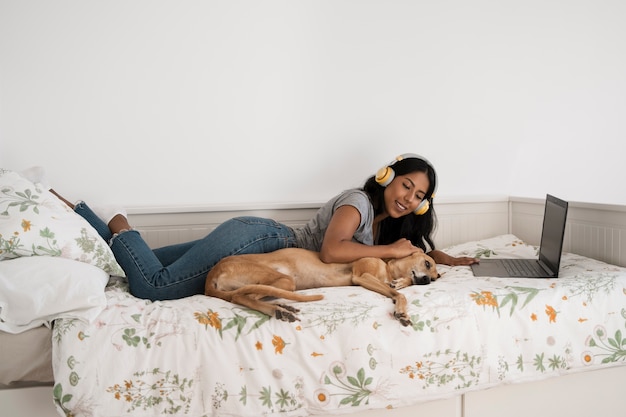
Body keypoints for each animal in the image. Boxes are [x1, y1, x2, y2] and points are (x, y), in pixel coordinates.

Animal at [205, 247, 438, 324]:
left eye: (436, 278)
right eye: (427, 263)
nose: (428, 280)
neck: (387, 266)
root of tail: (211, 275)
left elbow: (399, 285)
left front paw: (402, 282)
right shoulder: (361, 277)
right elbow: (398, 294)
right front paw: (401, 310)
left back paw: (281, 308)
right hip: (283, 281)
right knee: (240, 297)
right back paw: (278, 310)